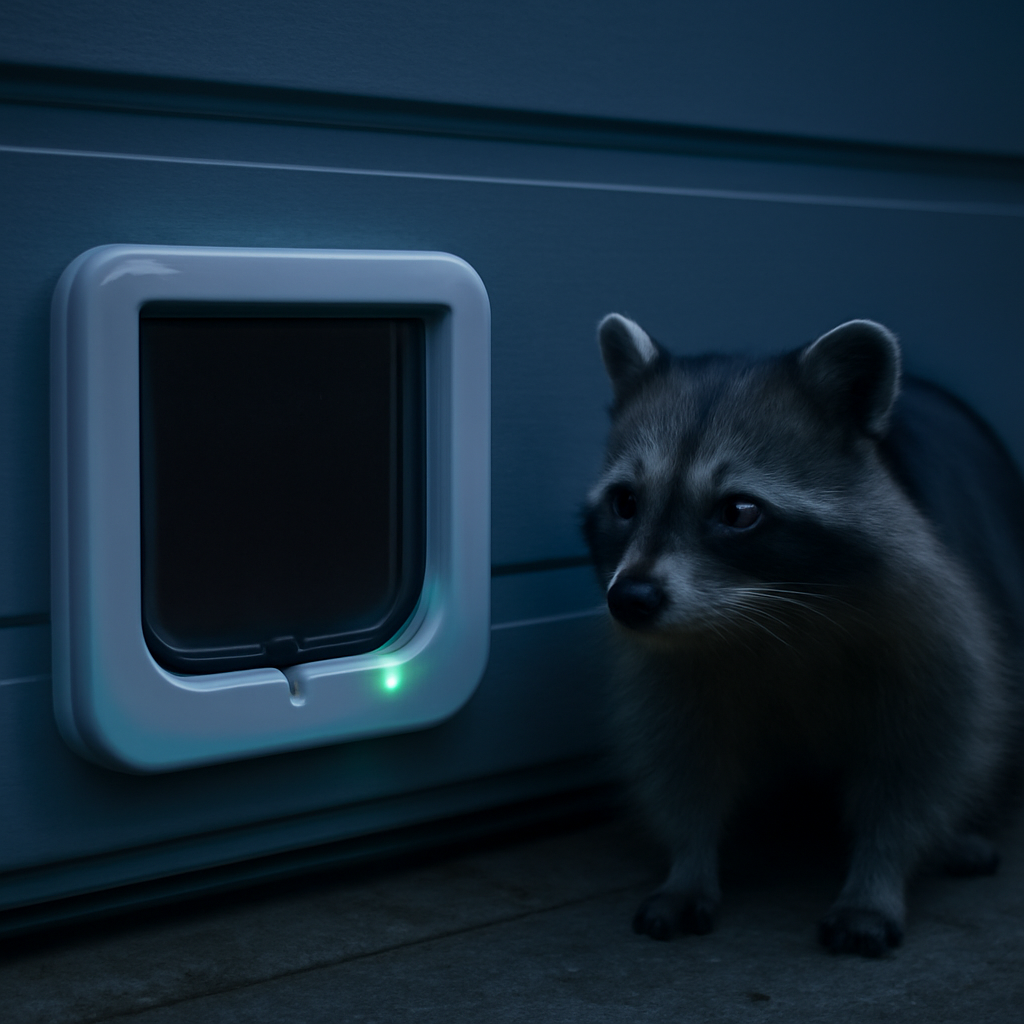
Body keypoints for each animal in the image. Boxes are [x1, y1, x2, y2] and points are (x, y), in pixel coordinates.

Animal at [583, 314, 1024, 956]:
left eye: (738, 512)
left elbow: (923, 758)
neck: (757, 617)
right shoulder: (671, 665)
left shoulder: (931, 630)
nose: (630, 601)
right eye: (625, 502)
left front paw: (878, 876)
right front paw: (689, 863)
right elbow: (681, 758)